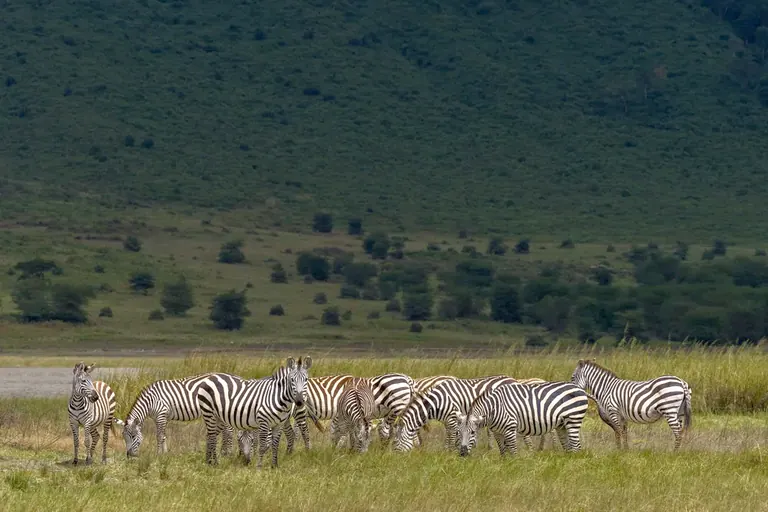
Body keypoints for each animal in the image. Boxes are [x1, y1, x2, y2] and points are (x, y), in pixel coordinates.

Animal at [457, 381, 589, 457]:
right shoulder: (497, 432)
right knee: (569, 447)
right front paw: (504, 468)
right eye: (459, 433)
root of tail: (579, 388)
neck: (495, 408)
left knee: (576, 447)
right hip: (562, 425)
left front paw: (514, 469)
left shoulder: (510, 428)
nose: (462, 454)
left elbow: (513, 452)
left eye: (473, 432)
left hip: (573, 419)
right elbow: (503, 452)